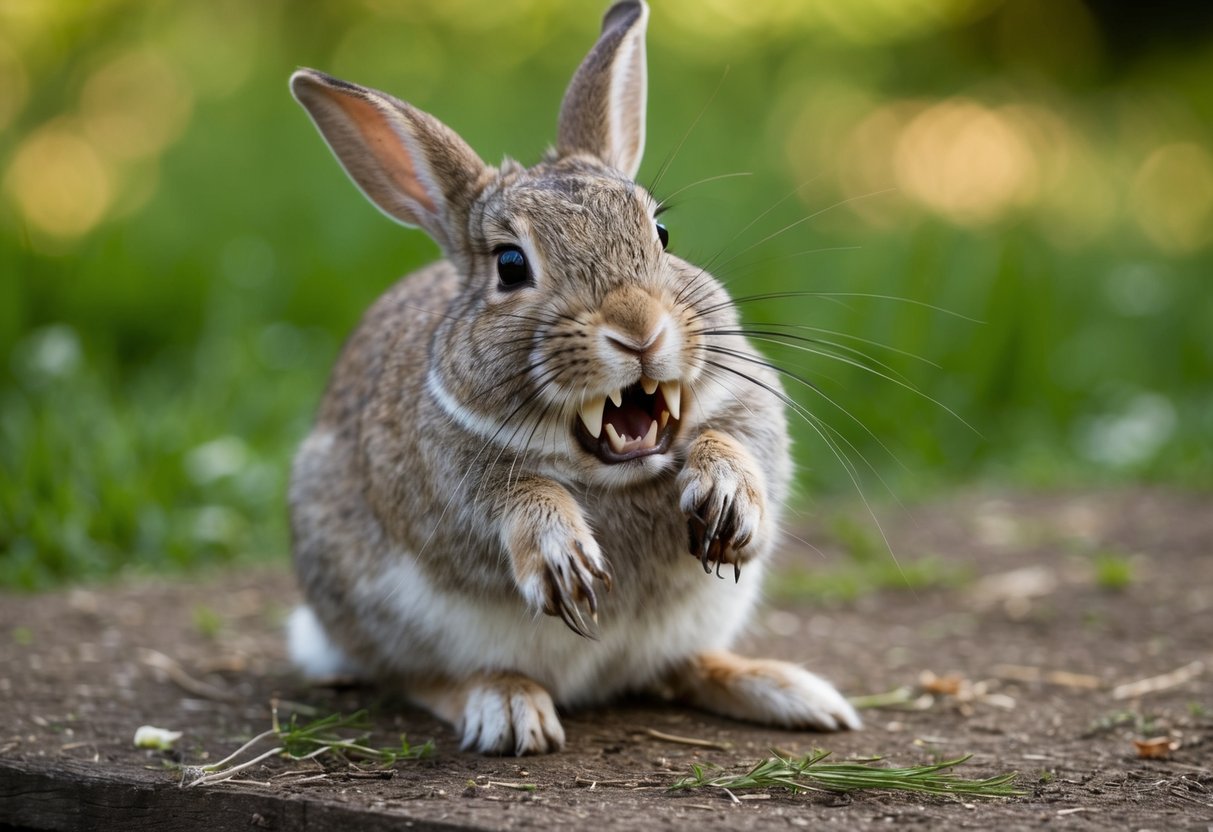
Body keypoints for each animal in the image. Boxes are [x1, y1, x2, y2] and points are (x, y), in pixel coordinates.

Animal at [286, 0, 861, 756]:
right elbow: (513, 498)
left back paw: (794, 694)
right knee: (418, 678)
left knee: (677, 667)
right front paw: (565, 560)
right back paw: (506, 707)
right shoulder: (447, 481)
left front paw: (726, 496)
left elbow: (738, 446)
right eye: (509, 266)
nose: (638, 328)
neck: (621, 472)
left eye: (661, 234)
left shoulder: (747, 407)